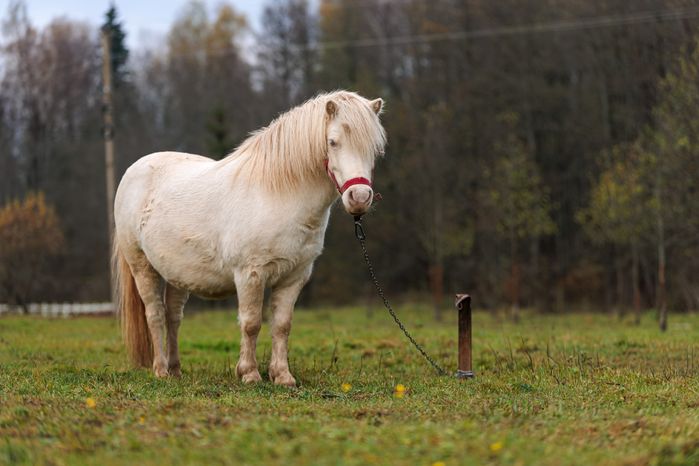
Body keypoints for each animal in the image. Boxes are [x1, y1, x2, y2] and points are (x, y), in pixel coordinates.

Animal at [112, 91, 386, 386]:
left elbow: (282, 325)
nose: (359, 198)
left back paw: (175, 370)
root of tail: (133, 171)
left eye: (375, 148)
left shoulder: (295, 277)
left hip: (177, 273)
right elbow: (251, 322)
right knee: (154, 315)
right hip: (142, 267)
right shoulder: (250, 274)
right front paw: (250, 373)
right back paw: (161, 370)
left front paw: (282, 376)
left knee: (173, 316)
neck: (279, 194)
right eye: (333, 142)